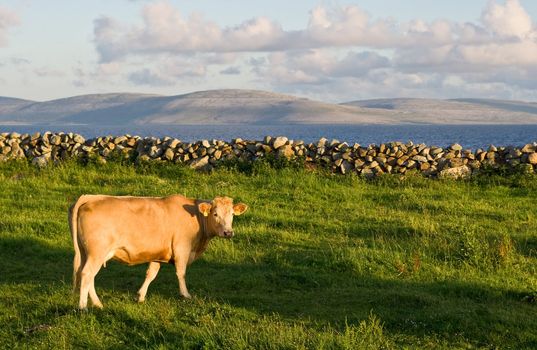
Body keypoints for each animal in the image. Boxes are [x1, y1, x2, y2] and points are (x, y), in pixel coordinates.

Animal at [68, 193, 248, 310]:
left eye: (232, 214)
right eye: (215, 214)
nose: (228, 232)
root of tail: (90, 198)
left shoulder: (158, 254)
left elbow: (151, 274)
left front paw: (140, 296)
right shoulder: (182, 248)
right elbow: (181, 273)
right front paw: (185, 295)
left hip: (87, 253)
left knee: (88, 275)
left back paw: (97, 304)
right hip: (97, 252)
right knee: (87, 274)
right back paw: (83, 307)